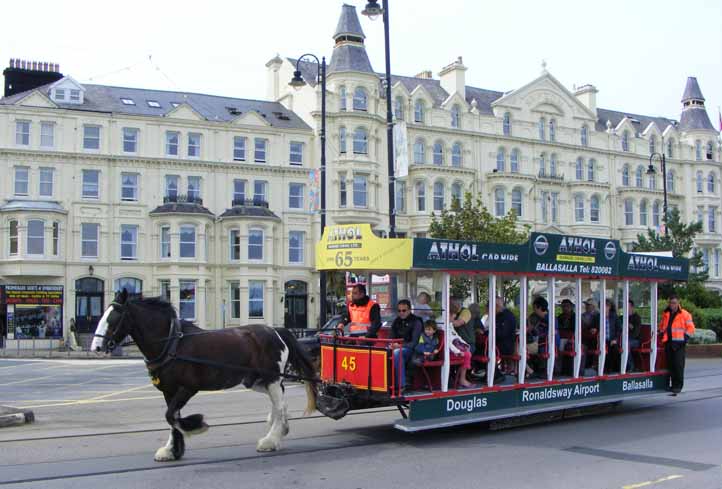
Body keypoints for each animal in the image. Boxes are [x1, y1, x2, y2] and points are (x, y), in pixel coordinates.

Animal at [88, 290, 316, 462]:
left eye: (113, 318)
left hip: (271, 378)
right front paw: (172, 450)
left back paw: (271, 440)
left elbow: (171, 416)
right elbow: (171, 416)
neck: (173, 344)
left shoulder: (188, 388)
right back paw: (279, 430)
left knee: (280, 405)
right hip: (257, 380)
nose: (96, 347)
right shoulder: (169, 390)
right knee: (281, 403)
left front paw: (195, 426)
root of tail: (276, 331)